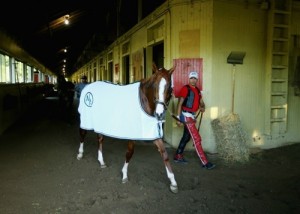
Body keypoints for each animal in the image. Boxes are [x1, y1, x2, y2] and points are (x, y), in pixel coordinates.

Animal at [76, 63, 178, 194]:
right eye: (154, 85)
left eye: (169, 87)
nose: (159, 114)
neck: (144, 100)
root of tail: (88, 87)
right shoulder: (132, 133)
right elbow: (129, 153)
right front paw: (124, 175)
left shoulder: (152, 133)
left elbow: (164, 154)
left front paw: (173, 182)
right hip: (86, 119)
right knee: (82, 133)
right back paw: (80, 154)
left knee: (100, 139)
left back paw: (101, 161)